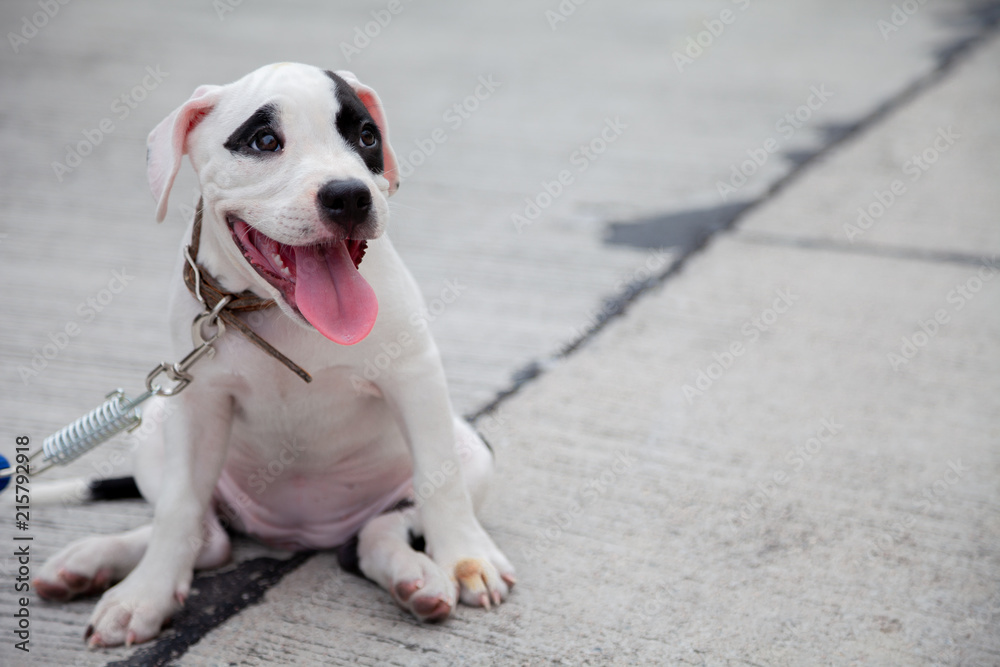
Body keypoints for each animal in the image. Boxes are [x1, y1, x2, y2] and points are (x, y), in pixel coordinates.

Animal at [33, 62, 516, 648]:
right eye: (264, 141)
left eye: (366, 137)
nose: (350, 195)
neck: (279, 314)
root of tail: (299, 535)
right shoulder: (197, 402)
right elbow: (178, 508)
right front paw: (144, 597)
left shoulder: (415, 375)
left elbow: (439, 481)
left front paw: (467, 559)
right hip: (154, 428)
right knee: (208, 537)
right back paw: (92, 562)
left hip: (472, 452)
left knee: (376, 532)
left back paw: (416, 576)